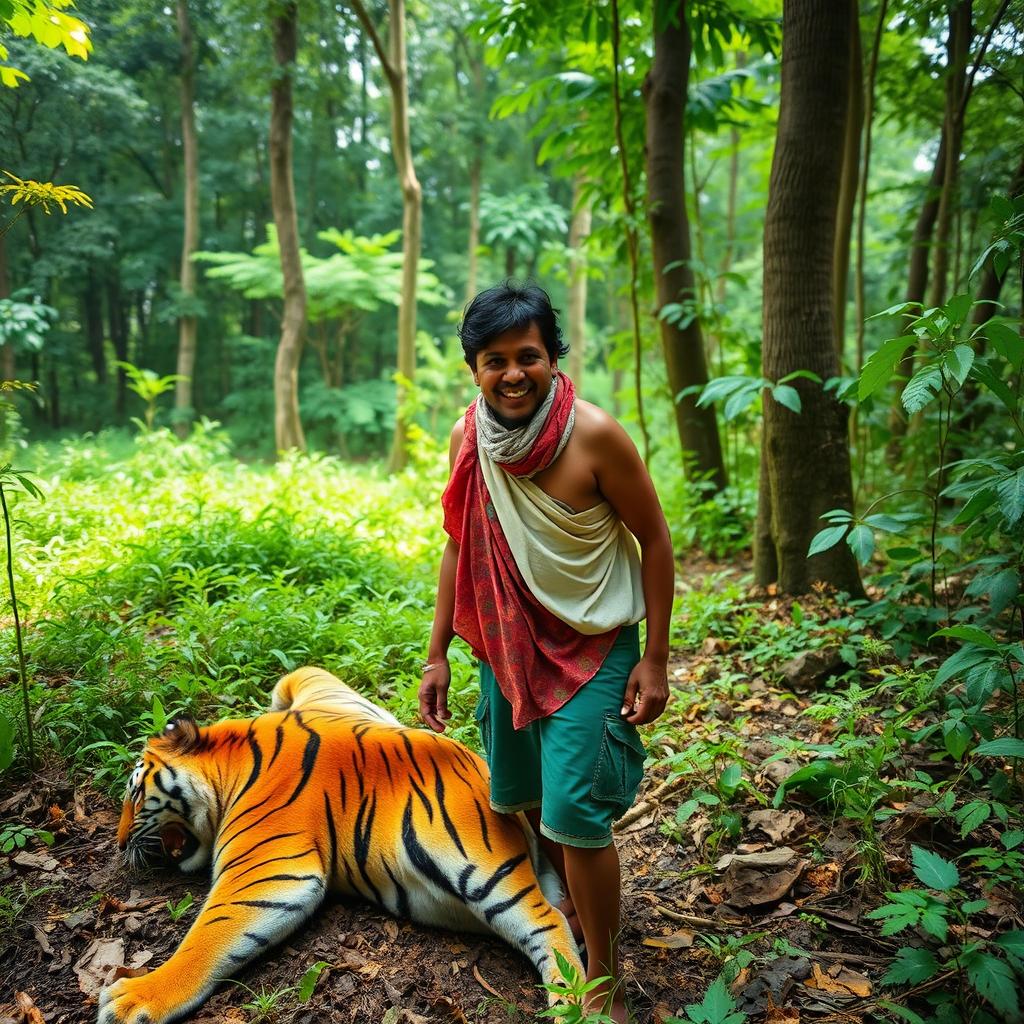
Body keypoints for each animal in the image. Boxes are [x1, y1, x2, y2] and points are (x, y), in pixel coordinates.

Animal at [103, 663, 585, 1024]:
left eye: (134, 794)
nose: (120, 842)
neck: (231, 759)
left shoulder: (269, 866)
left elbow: (208, 936)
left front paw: (135, 998)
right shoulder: (325, 692)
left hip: (483, 870)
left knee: (550, 922)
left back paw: (573, 1006)